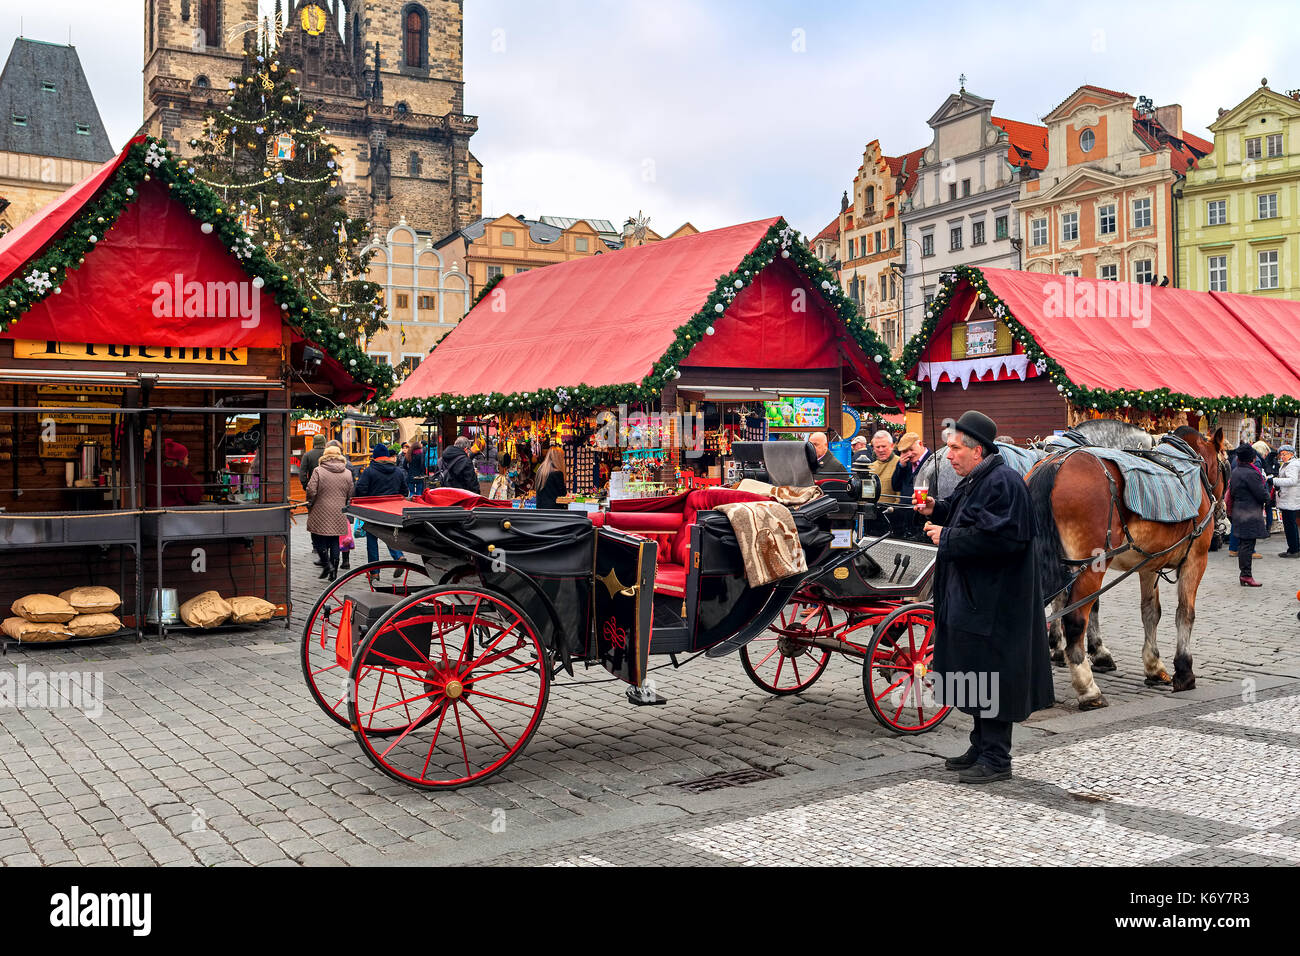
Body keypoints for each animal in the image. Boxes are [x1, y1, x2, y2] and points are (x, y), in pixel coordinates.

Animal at [1024, 429, 1227, 707]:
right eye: (1225, 465)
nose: (1223, 516)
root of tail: (1055, 463)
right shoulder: (1195, 560)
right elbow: (1185, 614)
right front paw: (1184, 671)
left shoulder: (1149, 564)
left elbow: (1151, 612)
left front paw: (1154, 666)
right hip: (1090, 567)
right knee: (1074, 620)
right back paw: (1088, 689)